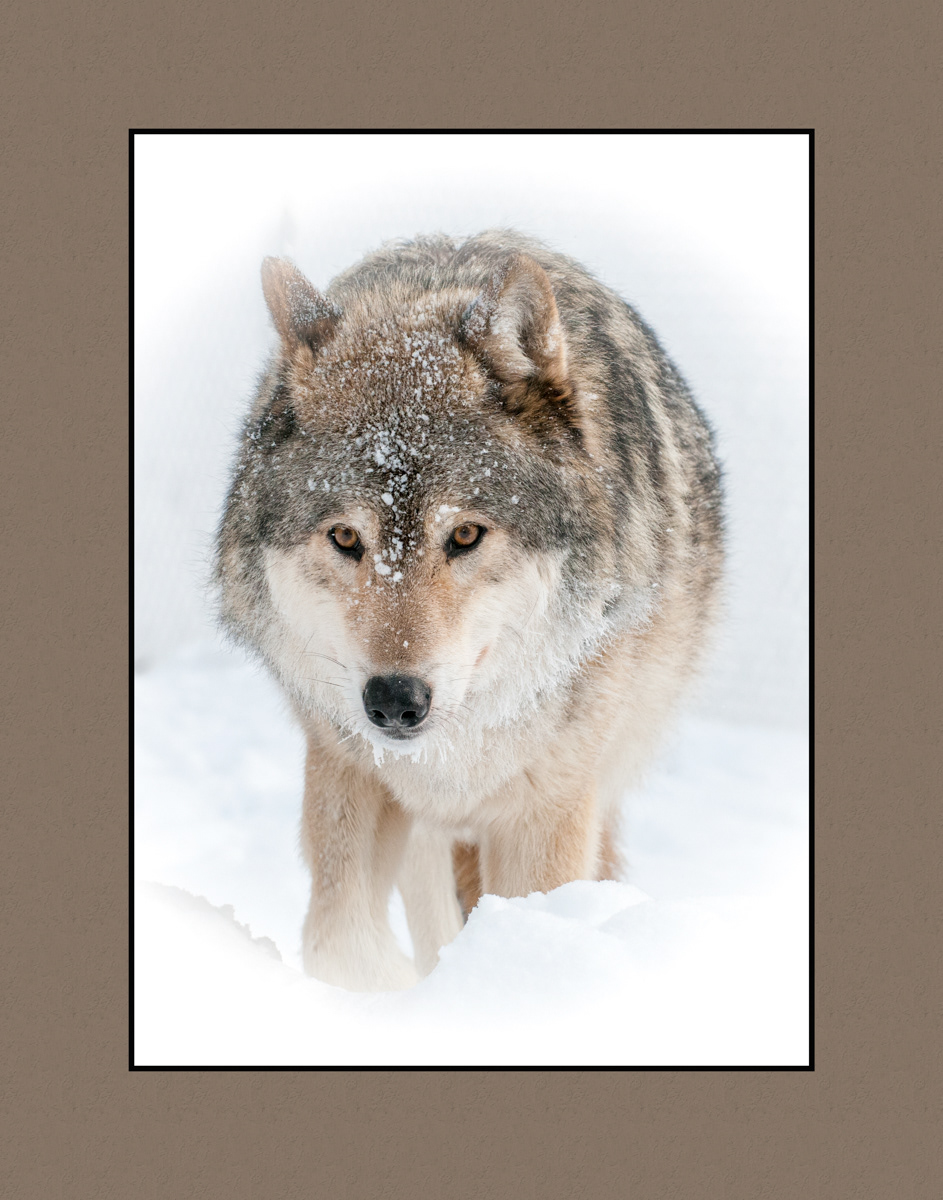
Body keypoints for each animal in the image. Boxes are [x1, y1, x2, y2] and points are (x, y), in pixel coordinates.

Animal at [215, 230, 724, 991]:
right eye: (345, 538)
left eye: (464, 536)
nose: (394, 702)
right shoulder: (348, 766)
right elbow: (338, 940)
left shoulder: (547, 813)